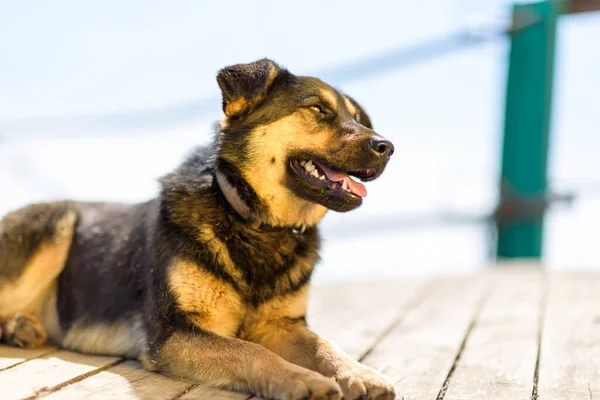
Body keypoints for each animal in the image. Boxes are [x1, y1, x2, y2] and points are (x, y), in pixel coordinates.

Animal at [1, 59, 398, 400]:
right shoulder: (175, 332)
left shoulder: (282, 325)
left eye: (357, 117)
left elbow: (324, 346)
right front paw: (303, 379)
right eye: (317, 109)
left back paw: (20, 328)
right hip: (55, 225)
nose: (387, 147)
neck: (253, 221)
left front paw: (360, 373)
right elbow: (249, 351)